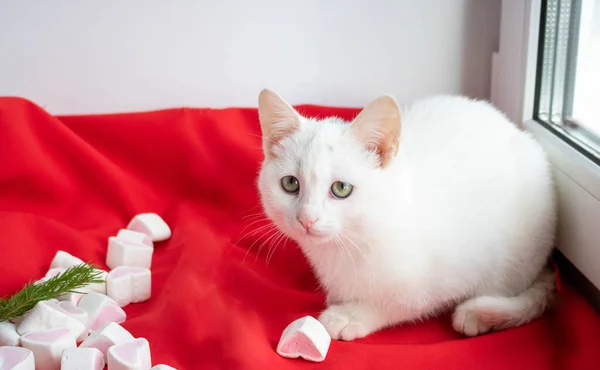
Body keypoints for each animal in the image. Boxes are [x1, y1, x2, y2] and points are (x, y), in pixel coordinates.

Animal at [255, 88, 556, 340]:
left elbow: (403, 302)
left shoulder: (450, 271)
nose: (307, 219)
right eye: (290, 183)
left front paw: (351, 314)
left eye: (341, 188)